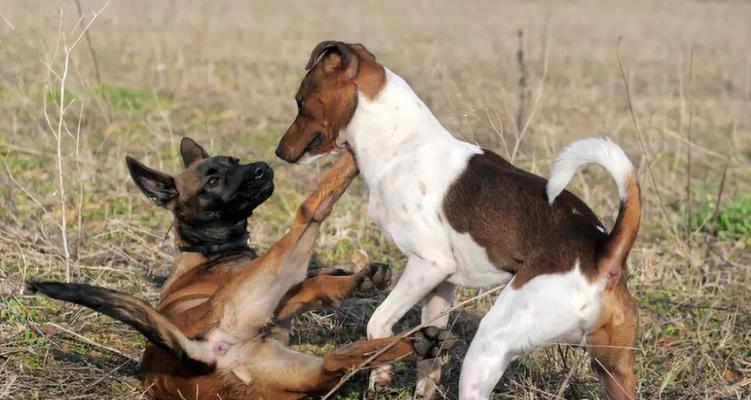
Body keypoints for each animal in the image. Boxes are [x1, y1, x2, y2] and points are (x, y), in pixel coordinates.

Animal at [27, 138, 452, 400]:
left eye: (233, 162)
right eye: (213, 179)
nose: (263, 167)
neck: (209, 251)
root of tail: (198, 356)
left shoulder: (283, 305)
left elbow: (318, 285)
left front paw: (359, 279)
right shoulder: (276, 298)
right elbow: (311, 284)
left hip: (301, 370)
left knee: (337, 359)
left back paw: (419, 342)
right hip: (279, 271)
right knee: (309, 211)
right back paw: (348, 157)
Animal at [280, 42, 644, 398]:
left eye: (300, 102)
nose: (278, 152)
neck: (402, 145)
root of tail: (605, 253)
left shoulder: (428, 265)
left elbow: (378, 323)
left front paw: (379, 375)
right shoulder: (441, 286)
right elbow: (428, 361)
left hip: (489, 346)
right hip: (614, 371)